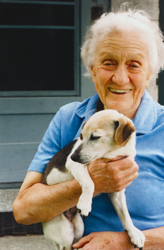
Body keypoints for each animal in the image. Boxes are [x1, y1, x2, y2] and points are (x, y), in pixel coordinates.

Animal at [42, 110, 145, 250]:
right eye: (81, 136)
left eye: (95, 137)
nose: (73, 156)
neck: (113, 153)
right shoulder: (75, 165)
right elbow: (89, 183)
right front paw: (85, 204)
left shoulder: (117, 192)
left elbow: (125, 214)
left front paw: (134, 233)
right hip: (64, 233)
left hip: (78, 228)